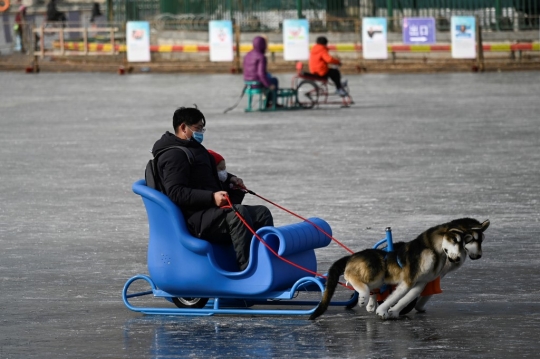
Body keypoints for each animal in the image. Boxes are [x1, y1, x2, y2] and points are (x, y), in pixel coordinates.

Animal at [308, 221, 472, 322]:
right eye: (454, 240)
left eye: (463, 244)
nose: (458, 258)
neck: (431, 250)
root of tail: (354, 255)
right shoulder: (408, 280)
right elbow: (395, 297)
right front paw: (382, 310)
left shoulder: (420, 282)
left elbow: (405, 298)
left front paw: (393, 312)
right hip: (376, 272)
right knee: (351, 276)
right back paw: (363, 297)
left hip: (380, 278)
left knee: (370, 288)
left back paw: (369, 302)